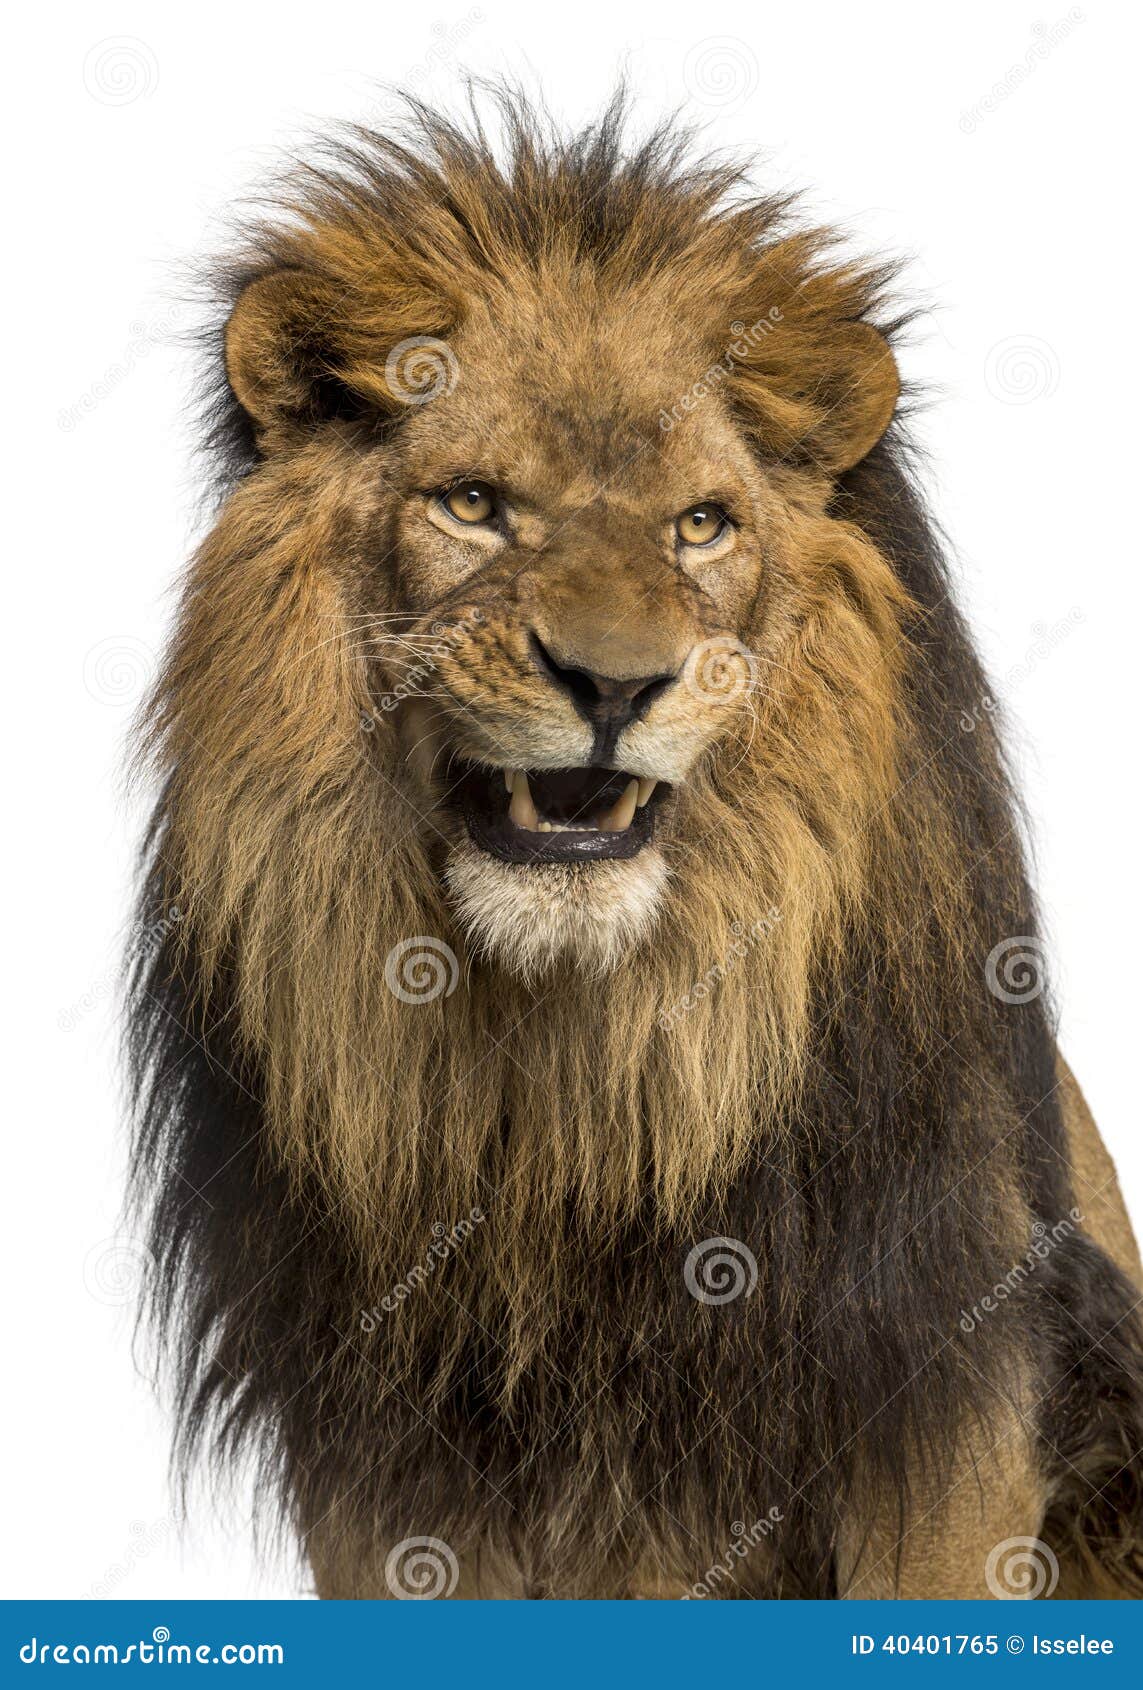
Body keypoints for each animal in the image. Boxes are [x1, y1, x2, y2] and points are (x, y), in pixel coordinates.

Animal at [129, 92, 1143, 1595]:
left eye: (700, 525)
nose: (613, 687)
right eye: (474, 504)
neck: (581, 1080)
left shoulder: (947, 1412)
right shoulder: (382, 1464)